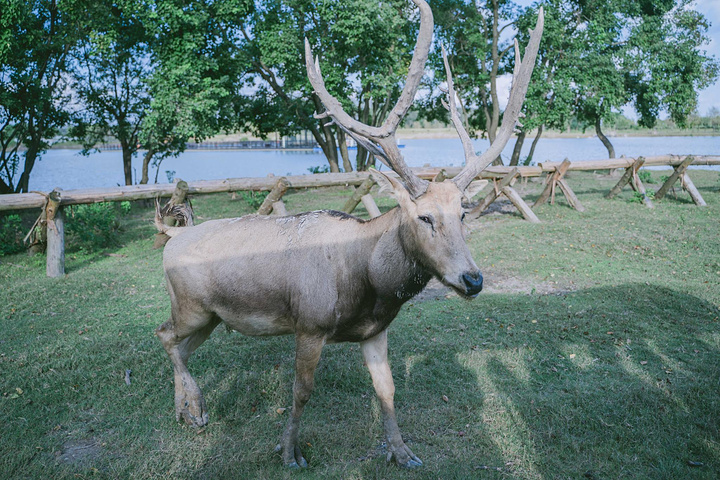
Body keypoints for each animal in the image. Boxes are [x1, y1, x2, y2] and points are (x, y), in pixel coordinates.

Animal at [155, 0, 544, 466]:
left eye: (463, 214)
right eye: (424, 217)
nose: (473, 279)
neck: (370, 286)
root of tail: (170, 237)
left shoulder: (375, 331)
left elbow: (388, 389)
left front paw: (401, 451)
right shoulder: (309, 323)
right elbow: (301, 392)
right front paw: (289, 450)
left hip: (211, 316)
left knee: (180, 346)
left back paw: (184, 410)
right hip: (191, 306)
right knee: (165, 336)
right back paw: (195, 407)